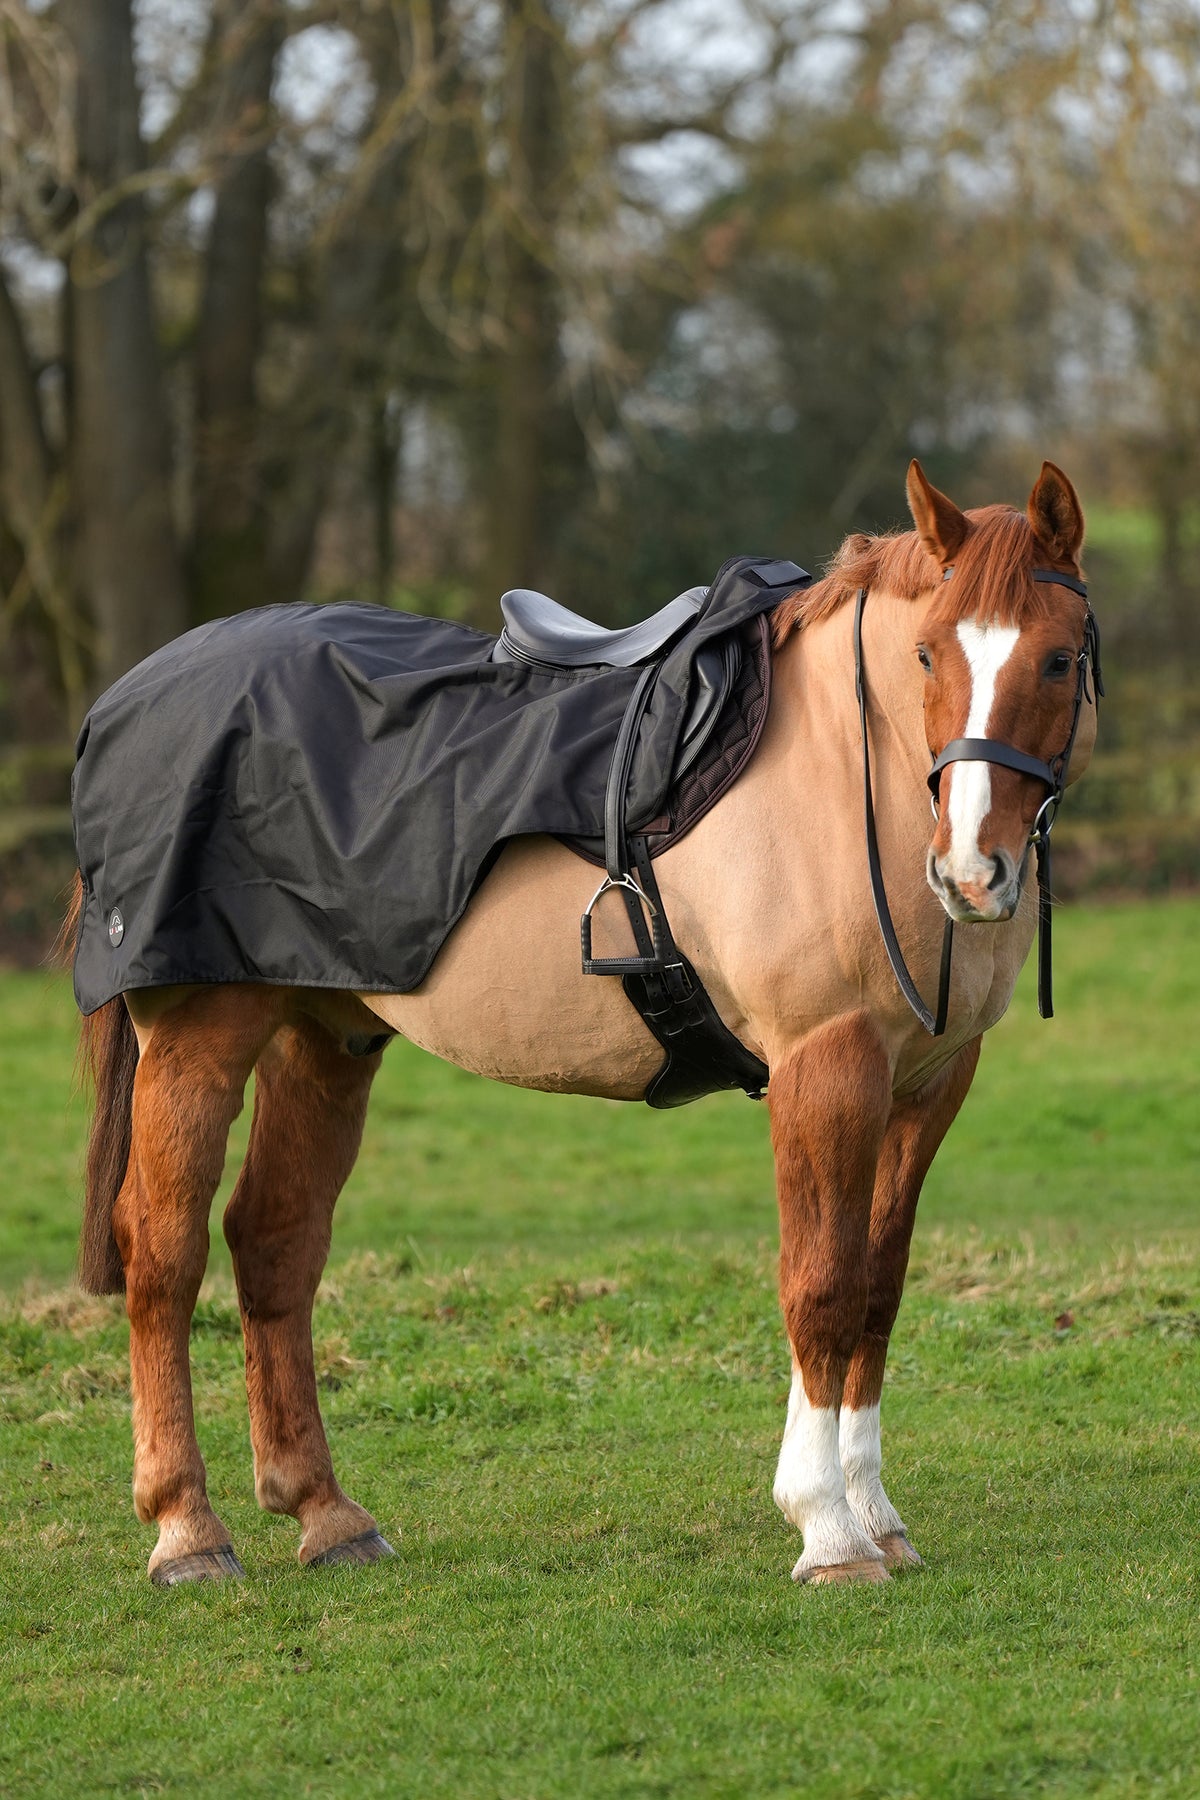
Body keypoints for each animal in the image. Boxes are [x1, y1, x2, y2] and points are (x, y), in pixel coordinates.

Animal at [64, 459, 1097, 1588]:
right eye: (926, 654)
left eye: (1057, 658)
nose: (970, 872)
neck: (845, 770)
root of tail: (129, 698)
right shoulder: (826, 1066)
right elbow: (821, 1286)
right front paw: (827, 1528)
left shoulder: (928, 1083)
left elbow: (878, 1285)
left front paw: (876, 1514)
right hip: (199, 1039)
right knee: (163, 1253)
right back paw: (186, 1529)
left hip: (321, 1036)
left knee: (275, 1241)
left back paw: (326, 1514)